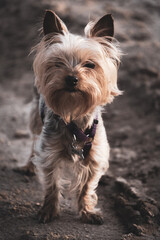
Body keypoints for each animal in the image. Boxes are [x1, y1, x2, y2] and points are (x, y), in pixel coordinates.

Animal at [26, 10, 121, 225]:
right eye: (57, 63)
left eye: (90, 65)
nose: (71, 78)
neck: (74, 115)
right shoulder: (50, 153)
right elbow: (52, 185)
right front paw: (48, 211)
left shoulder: (94, 157)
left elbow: (86, 187)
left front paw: (87, 211)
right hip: (36, 116)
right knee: (34, 139)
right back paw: (29, 165)